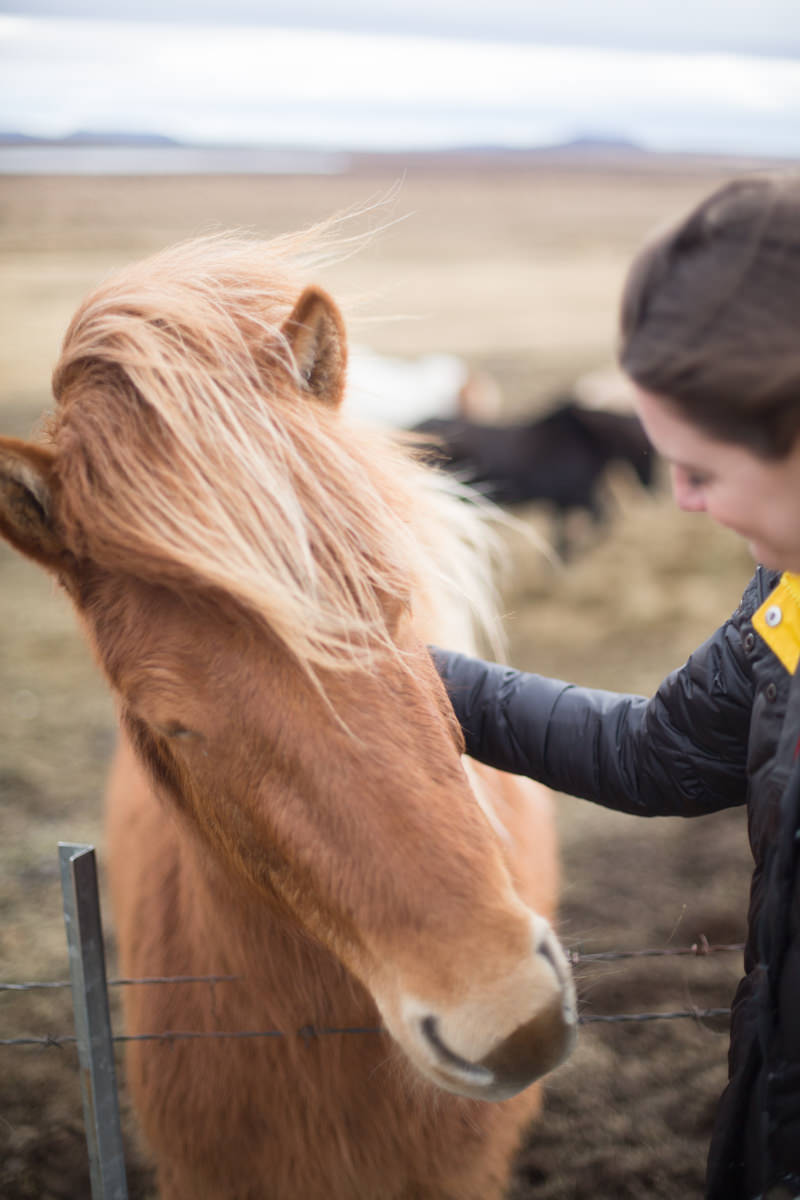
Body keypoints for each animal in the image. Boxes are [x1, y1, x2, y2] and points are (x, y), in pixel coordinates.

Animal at [412, 398, 657, 556]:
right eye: (649, 450)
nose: (655, 488)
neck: (587, 441)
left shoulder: (564, 502)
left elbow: (564, 535)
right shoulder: (579, 497)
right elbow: (600, 522)